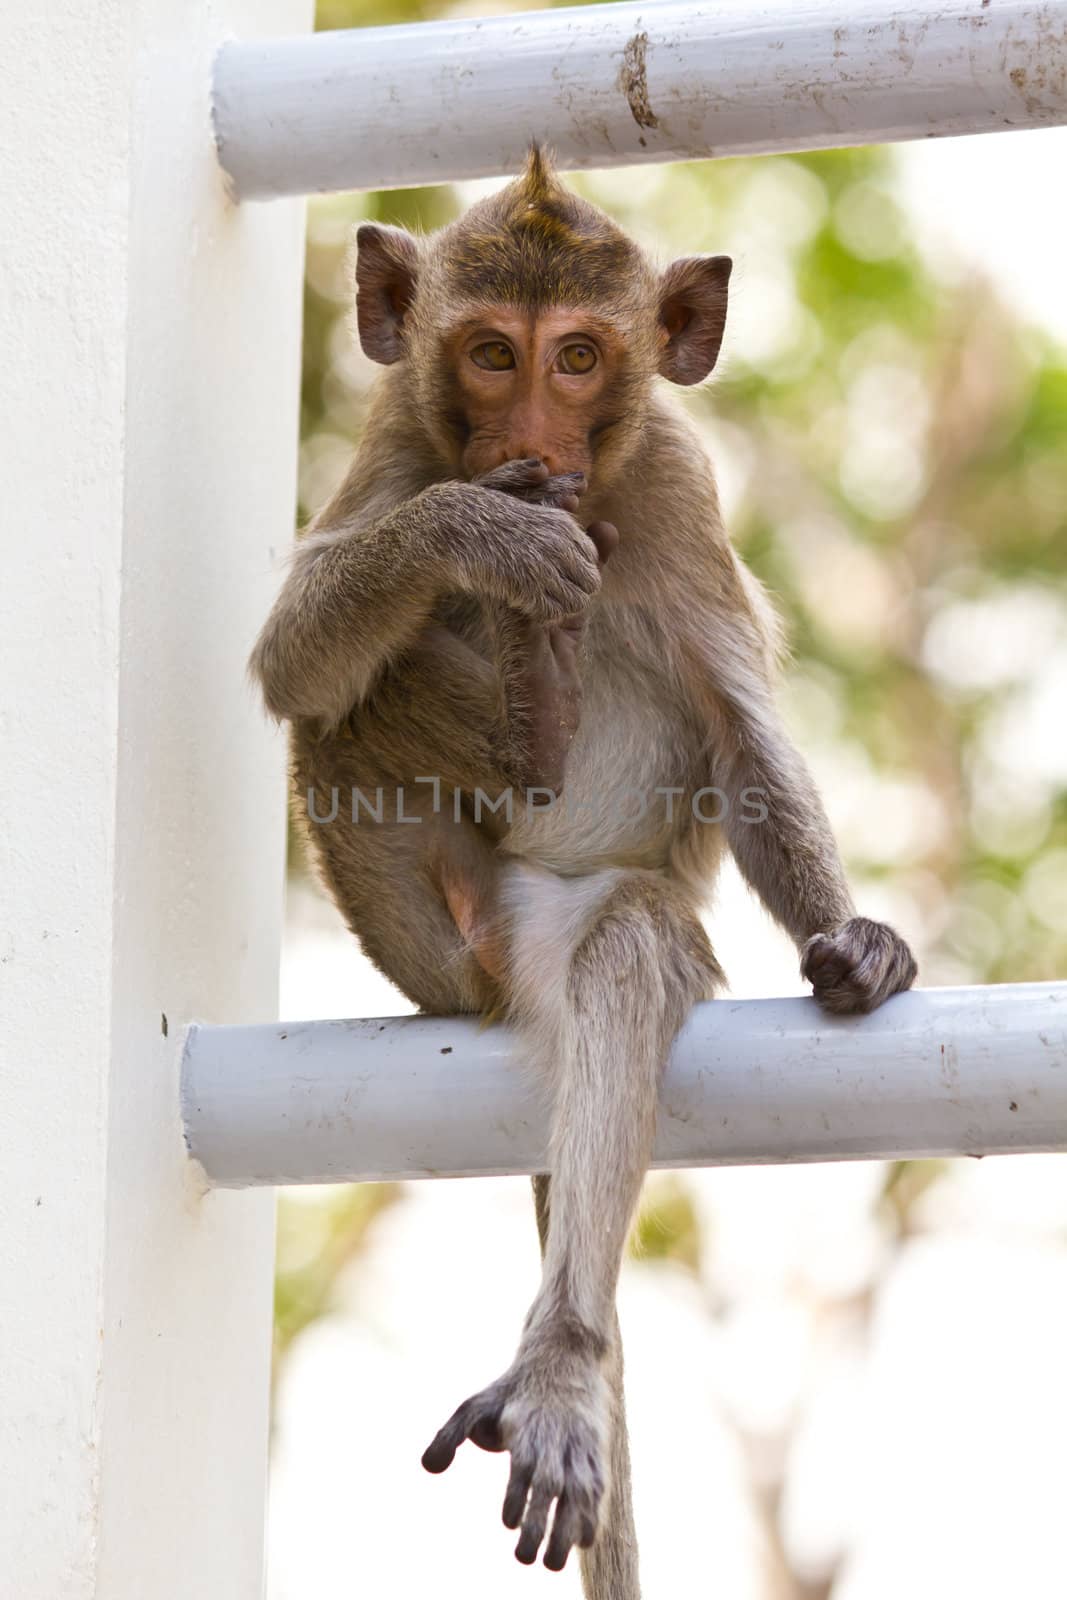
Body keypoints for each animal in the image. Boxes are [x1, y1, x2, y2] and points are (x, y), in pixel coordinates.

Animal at [251, 144, 921, 1593]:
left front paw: (852, 940)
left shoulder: (674, 480)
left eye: (575, 358)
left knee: (628, 946)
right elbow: (290, 662)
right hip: (440, 936)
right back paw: (533, 693)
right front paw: (480, 533)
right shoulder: (397, 438)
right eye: (490, 353)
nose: (533, 445)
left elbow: (735, 725)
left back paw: (556, 1363)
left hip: (555, 919)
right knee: (342, 716)